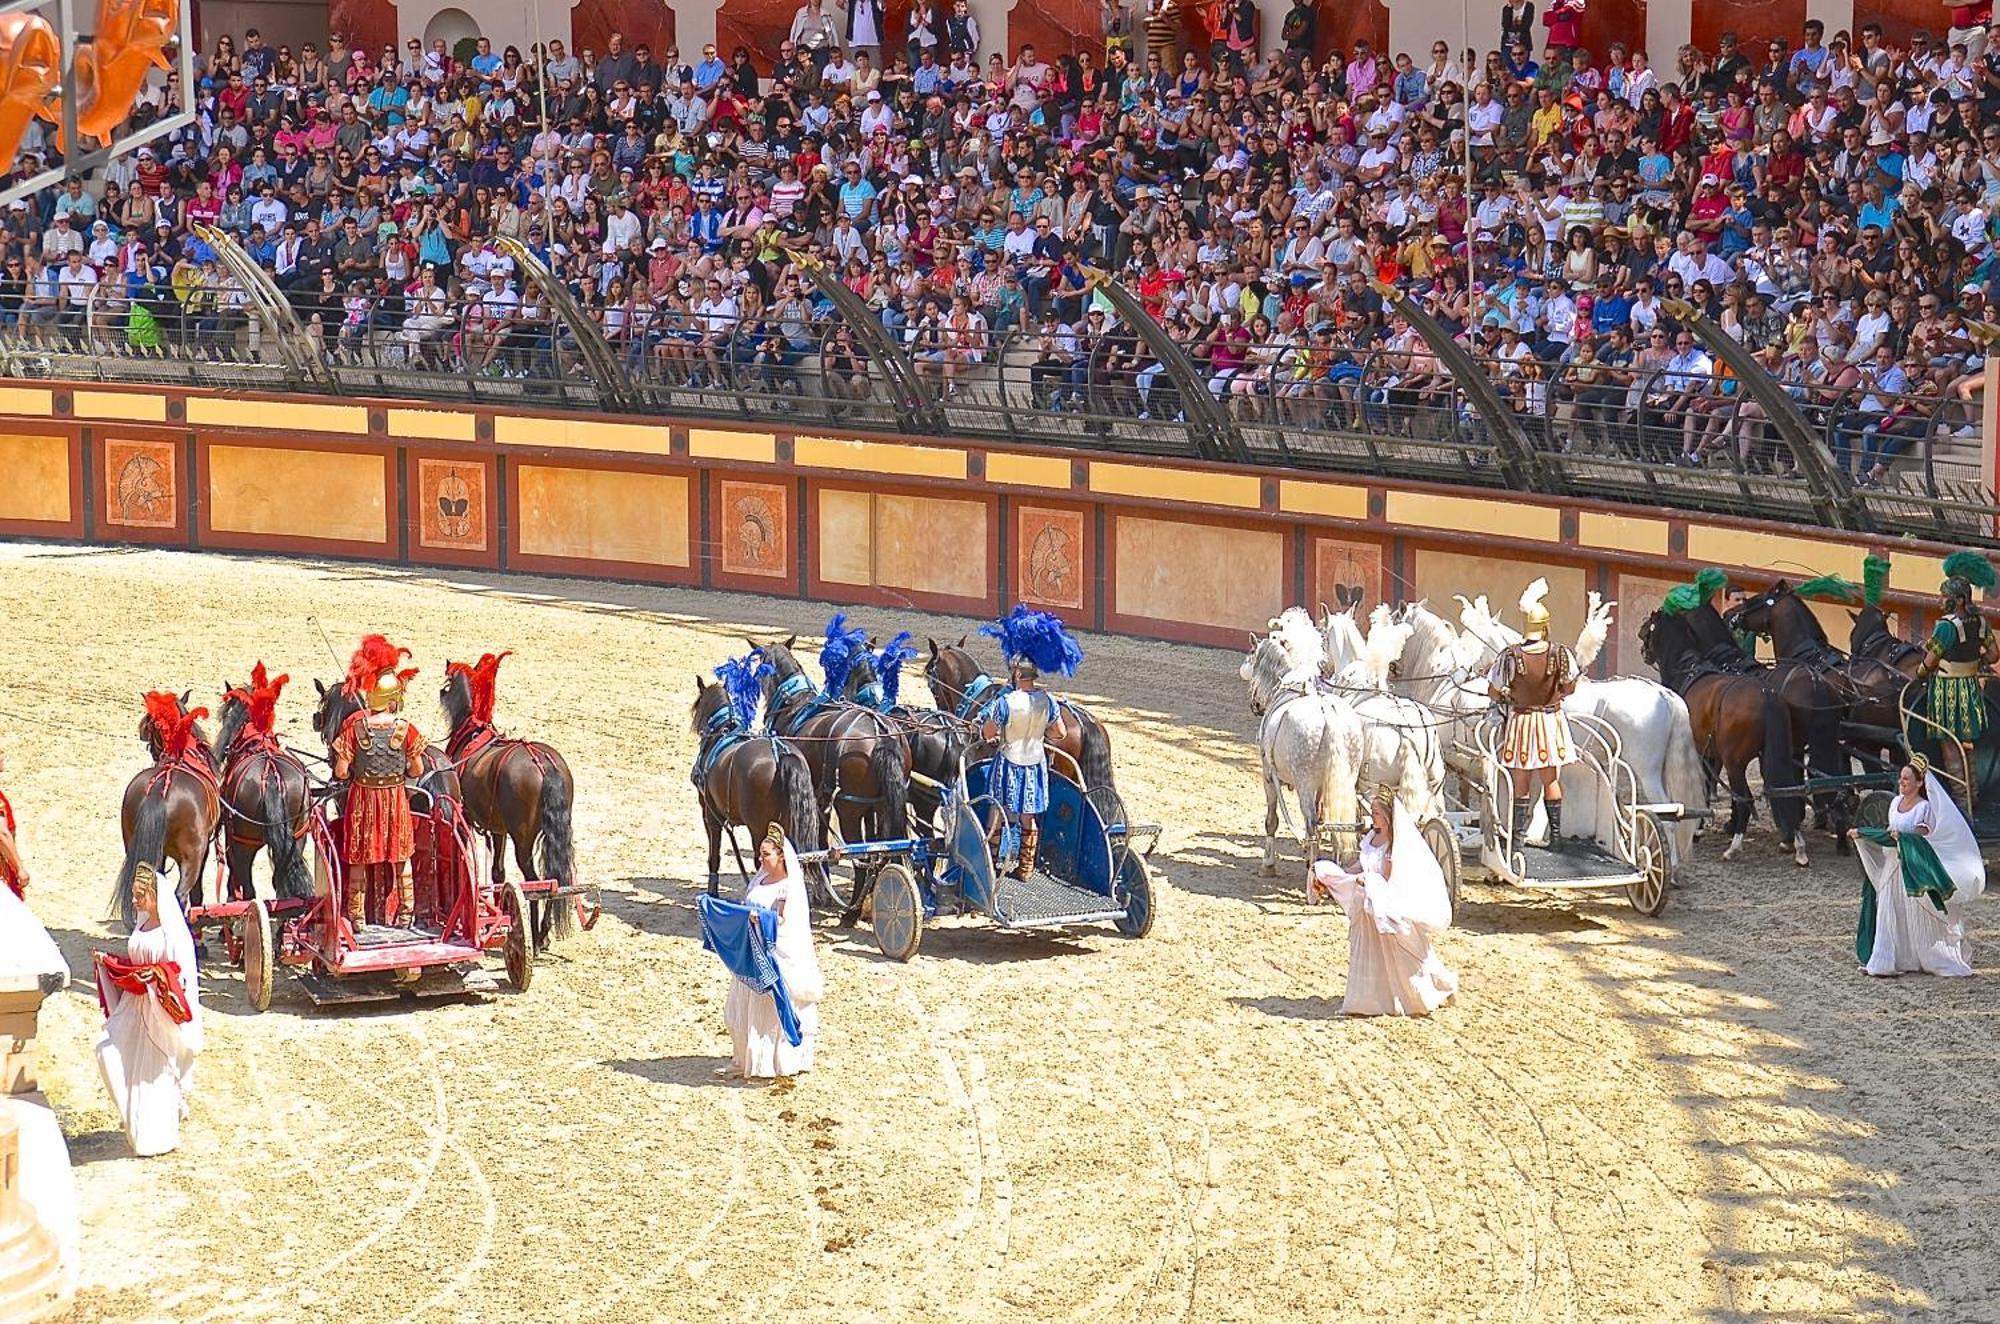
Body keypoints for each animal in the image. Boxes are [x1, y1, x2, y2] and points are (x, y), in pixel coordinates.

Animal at [215, 668, 312, 908]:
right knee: (281, 882)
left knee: (249, 888)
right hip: (299, 836)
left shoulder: (232, 839)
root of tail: (271, 773)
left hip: (244, 845)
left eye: (225, 715)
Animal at [1240, 632, 1368, 880]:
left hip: (1305, 784)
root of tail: (1328, 714)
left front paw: (1268, 864)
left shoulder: (1268, 776)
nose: (1255, 705)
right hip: (1344, 779)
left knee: (1311, 824)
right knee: (1337, 824)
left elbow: (1271, 821)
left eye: (1253, 660)